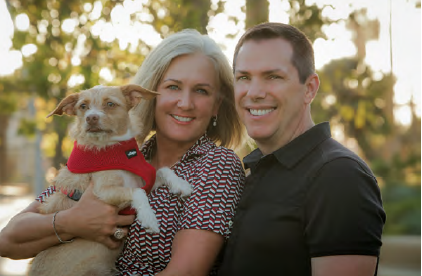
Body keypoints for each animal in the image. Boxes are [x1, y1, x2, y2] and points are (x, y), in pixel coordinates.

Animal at [29, 84, 193, 276]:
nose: (91, 118)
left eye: (110, 104)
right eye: (83, 106)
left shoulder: (144, 181)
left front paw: (181, 185)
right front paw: (149, 218)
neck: (114, 149)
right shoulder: (104, 192)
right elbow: (137, 192)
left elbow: (162, 169)